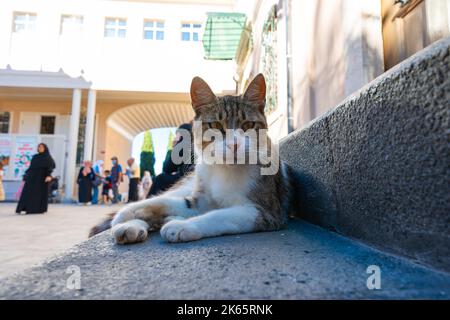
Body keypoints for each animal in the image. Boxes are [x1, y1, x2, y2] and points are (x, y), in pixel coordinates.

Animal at [100, 75, 294, 244]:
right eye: (215, 125)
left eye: (248, 125)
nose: (233, 144)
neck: (225, 169)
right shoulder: (200, 199)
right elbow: (165, 202)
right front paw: (126, 212)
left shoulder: (265, 211)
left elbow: (218, 216)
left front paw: (182, 227)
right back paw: (130, 227)